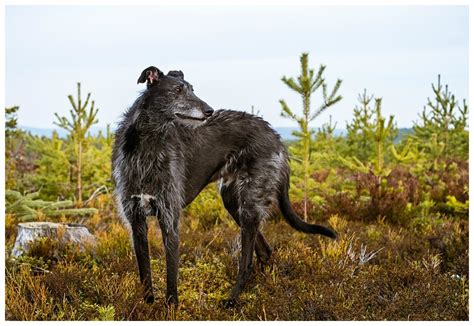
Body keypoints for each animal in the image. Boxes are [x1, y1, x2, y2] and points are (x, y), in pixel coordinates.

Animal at [112, 67, 336, 308]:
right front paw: (147, 306)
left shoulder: (169, 216)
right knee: (264, 251)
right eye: (178, 89)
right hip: (233, 201)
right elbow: (144, 272)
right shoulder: (136, 219)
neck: (147, 146)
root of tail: (275, 135)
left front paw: (170, 309)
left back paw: (232, 299)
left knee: (247, 262)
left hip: (250, 202)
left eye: (192, 88)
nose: (209, 111)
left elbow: (171, 275)